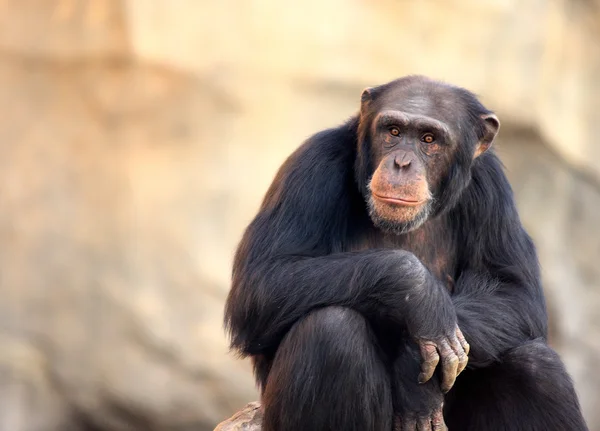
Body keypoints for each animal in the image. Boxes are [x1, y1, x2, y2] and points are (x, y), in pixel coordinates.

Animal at [223, 76, 588, 430]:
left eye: (429, 139)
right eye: (394, 131)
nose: (402, 162)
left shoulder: (492, 184)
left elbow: (514, 292)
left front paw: (411, 363)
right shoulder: (312, 165)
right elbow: (262, 282)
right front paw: (422, 299)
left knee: (535, 365)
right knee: (330, 330)